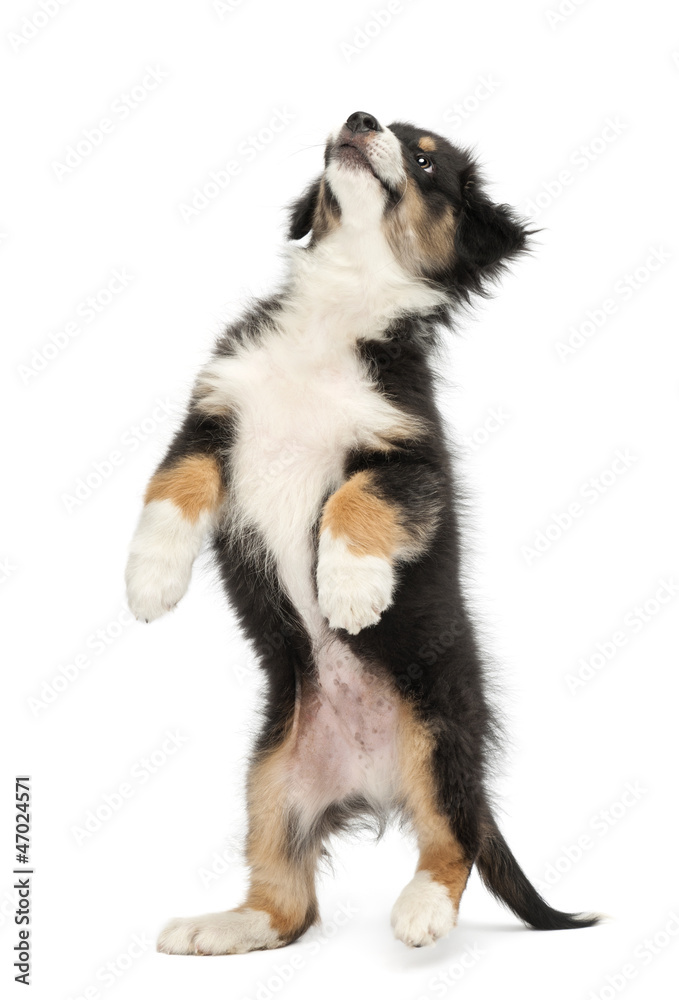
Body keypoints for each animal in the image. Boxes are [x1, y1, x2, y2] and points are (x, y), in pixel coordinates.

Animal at [125, 107, 596, 952]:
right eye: (379, 123)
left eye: (424, 158)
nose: (358, 118)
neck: (336, 307)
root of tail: (372, 782)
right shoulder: (211, 418)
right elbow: (170, 488)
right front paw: (149, 579)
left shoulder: (411, 458)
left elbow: (354, 499)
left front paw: (348, 591)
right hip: (269, 775)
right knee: (287, 903)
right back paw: (220, 926)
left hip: (439, 736)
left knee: (451, 840)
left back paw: (422, 909)